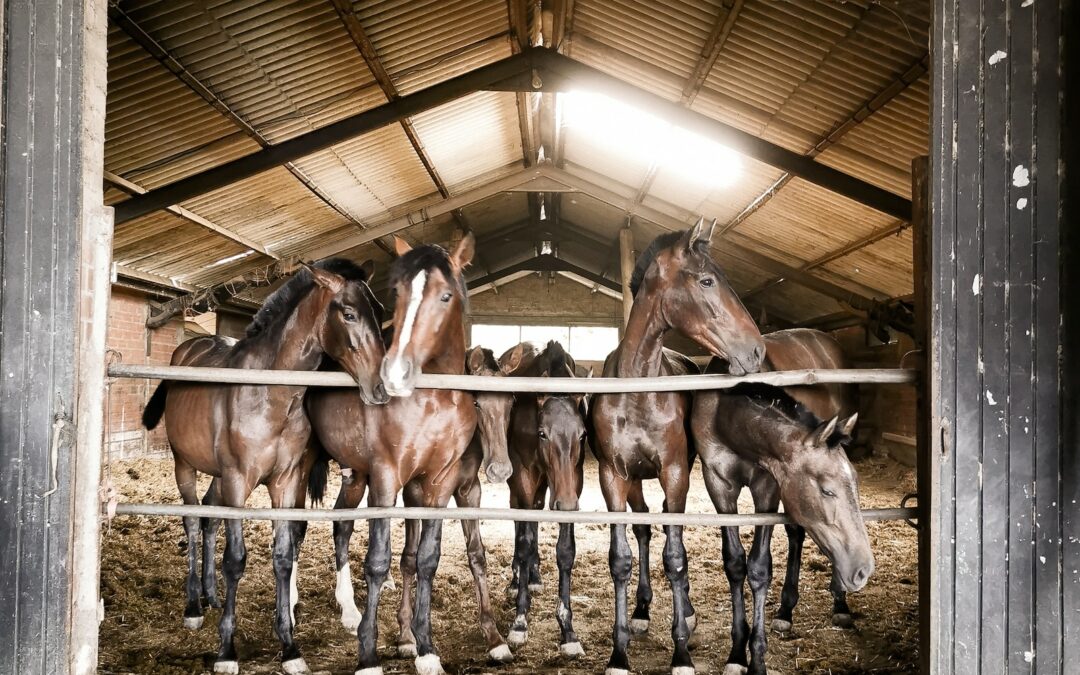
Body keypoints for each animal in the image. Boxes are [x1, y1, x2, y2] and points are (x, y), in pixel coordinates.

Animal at [140, 259, 388, 675]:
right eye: (349, 314)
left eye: (380, 312)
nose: (381, 388)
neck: (269, 393)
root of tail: (188, 346)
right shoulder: (240, 481)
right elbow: (236, 560)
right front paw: (227, 652)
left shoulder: (285, 482)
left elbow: (284, 556)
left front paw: (290, 648)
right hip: (185, 465)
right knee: (191, 520)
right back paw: (193, 606)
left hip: (219, 478)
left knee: (208, 515)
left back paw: (210, 594)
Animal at [305, 340, 519, 665]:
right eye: (477, 402)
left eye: (511, 401)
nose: (500, 469)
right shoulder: (414, 493)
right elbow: (410, 557)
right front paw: (407, 637)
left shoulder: (468, 491)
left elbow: (476, 556)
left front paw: (494, 638)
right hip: (348, 475)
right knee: (340, 525)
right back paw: (347, 609)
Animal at [499, 341, 589, 658]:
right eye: (542, 434)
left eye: (582, 435)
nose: (566, 503)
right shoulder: (524, 475)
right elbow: (525, 543)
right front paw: (519, 621)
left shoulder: (573, 481)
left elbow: (565, 551)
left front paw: (568, 631)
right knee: (519, 519)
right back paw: (518, 579)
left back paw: (535, 577)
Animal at [588, 219, 766, 675]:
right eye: (706, 281)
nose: (756, 350)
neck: (638, 390)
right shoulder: (613, 476)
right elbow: (621, 559)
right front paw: (619, 654)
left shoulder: (675, 473)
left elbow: (676, 558)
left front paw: (681, 652)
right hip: (635, 481)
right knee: (645, 529)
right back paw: (643, 612)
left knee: (673, 537)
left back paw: (685, 612)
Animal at [691, 381, 873, 675]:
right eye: (826, 490)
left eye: (855, 482)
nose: (864, 569)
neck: (725, 416)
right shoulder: (718, 485)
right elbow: (735, 564)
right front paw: (737, 654)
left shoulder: (768, 486)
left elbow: (760, 567)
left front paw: (757, 661)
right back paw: (786, 611)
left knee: (798, 535)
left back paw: (838, 604)